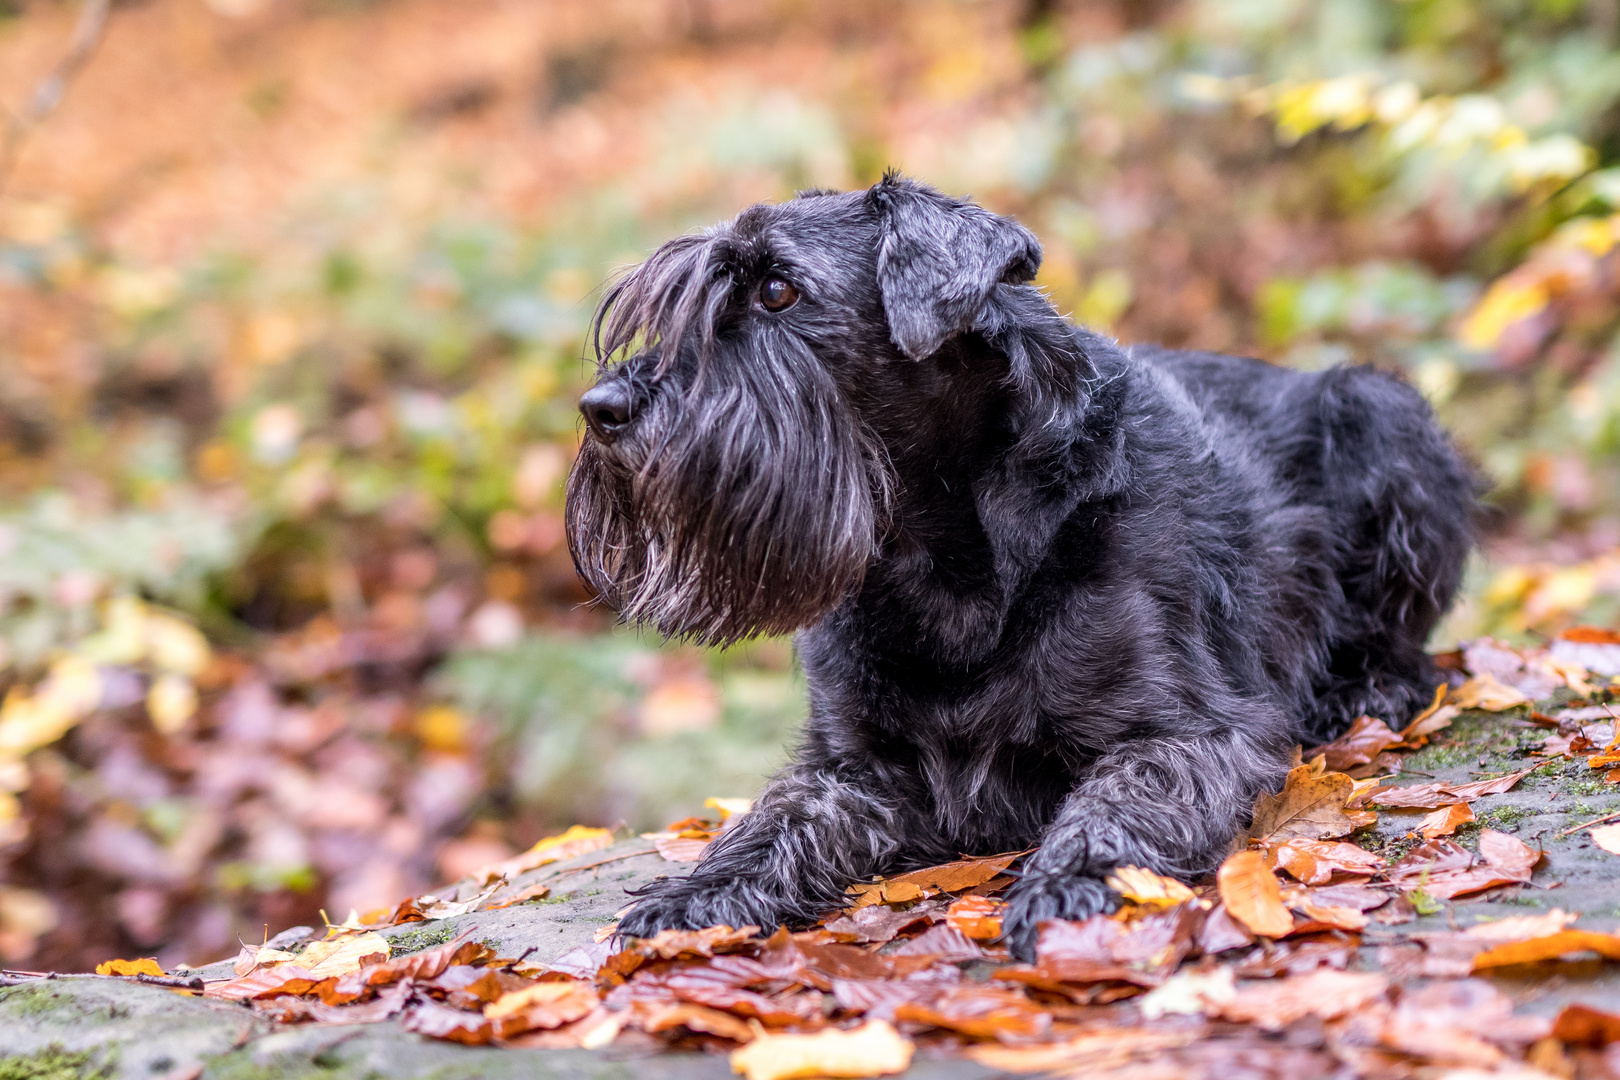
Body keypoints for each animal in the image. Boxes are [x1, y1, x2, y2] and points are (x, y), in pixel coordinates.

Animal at [563, 173, 1477, 958]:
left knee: (1408, 642)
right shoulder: (850, 766)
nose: (603, 407)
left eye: (779, 290)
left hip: (1381, 412)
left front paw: (1067, 883)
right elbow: (773, 820)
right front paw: (695, 895)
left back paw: (1361, 689)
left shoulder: (1192, 732)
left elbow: (1116, 803)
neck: (939, 557)